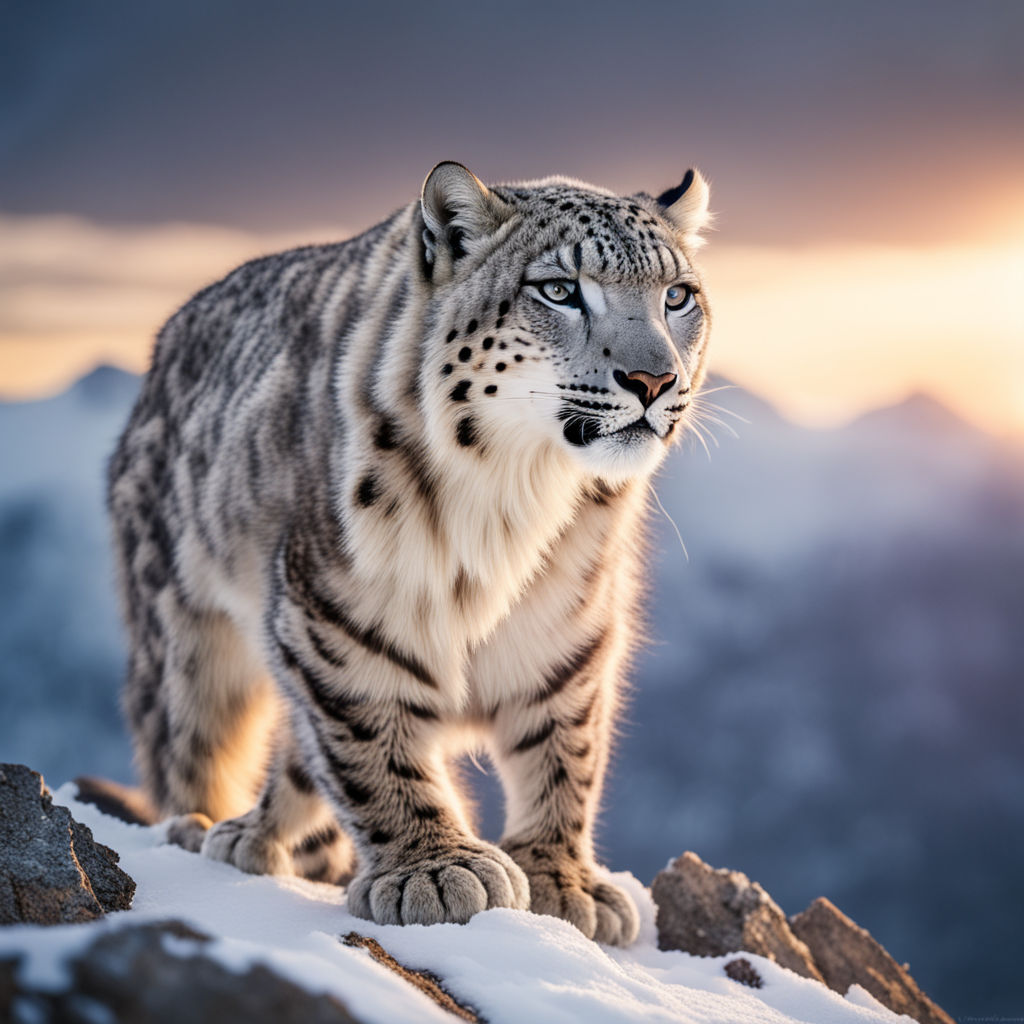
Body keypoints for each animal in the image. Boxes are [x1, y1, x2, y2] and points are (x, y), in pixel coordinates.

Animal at [103, 161, 712, 942]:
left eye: (677, 295)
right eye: (559, 289)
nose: (654, 381)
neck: (521, 503)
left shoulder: (569, 625)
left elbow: (564, 747)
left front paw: (562, 878)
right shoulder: (339, 613)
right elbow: (373, 741)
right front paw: (436, 870)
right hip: (187, 638)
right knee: (198, 742)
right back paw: (209, 827)